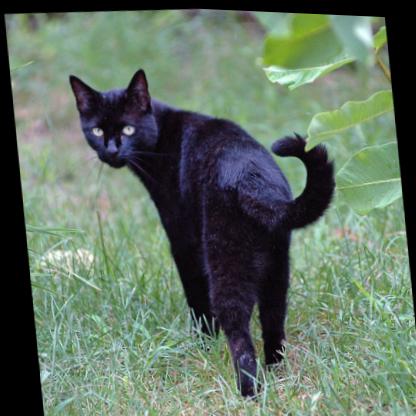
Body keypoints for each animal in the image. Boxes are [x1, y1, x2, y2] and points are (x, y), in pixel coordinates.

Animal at [69, 69, 335, 397]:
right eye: (96, 131)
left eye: (128, 129)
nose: (111, 150)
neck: (162, 137)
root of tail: (253, 179)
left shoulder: (183, 241)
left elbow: (197, 300)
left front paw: (202, 345)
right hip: (277, 269)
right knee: (274, 320)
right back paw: (277, 373)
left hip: (226, 263)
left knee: (238, 331)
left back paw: (249, 390)